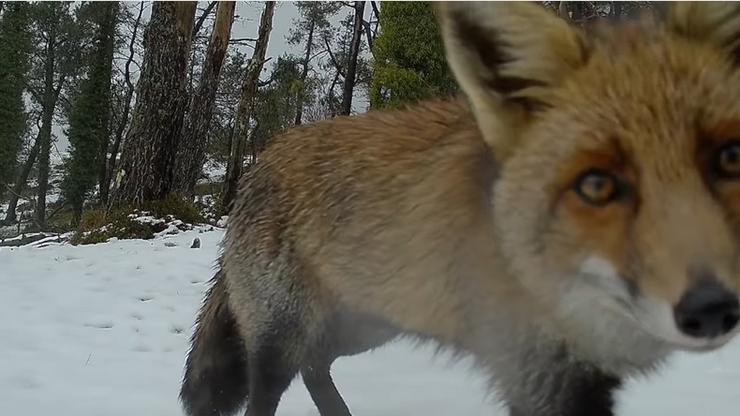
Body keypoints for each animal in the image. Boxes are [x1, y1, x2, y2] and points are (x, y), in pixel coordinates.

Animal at [181, 3, 740, 416]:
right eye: (597, 185)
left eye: (729, 158)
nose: (712, 307)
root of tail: (263, 157)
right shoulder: (537, 373)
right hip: (284, 336)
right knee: (274, 387)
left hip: (366, 325)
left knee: (317, 367)